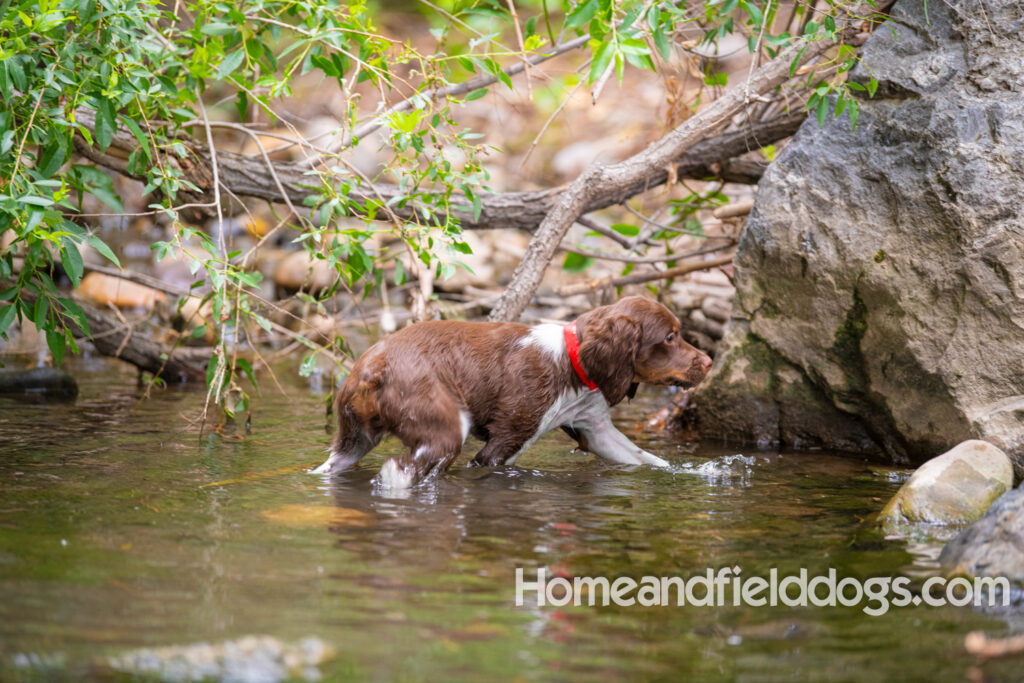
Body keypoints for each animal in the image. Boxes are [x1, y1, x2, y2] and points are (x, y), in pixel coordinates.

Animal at [311, 296, 712, 489]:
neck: (571, 363)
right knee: (403, 470)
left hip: (353, 440)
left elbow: (647, 459)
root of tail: (371, 370)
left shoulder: (594, 428)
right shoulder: (503, 443)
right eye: (670, 337)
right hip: (444, 431)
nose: (709, 362)